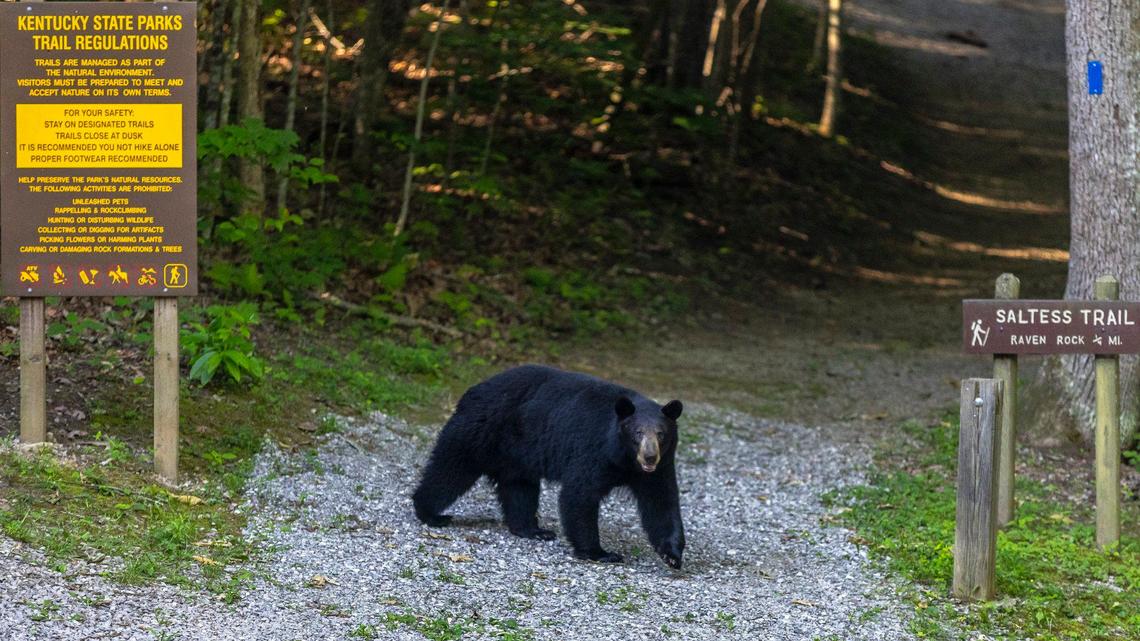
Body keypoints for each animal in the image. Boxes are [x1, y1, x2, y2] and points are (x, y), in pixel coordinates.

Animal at [411, 365, 686, 569]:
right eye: (637, 433)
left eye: (661, 434)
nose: (649, 457)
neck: (625, 459)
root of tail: (473, 389)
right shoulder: (593, 451)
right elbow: (579, 494)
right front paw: (600, 552)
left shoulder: (659, 468)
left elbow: (661, 502)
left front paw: (672, 554)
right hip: (480, 430)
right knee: (451, 470)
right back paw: (430, 513)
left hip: (516, 452)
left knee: (520, 489)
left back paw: (533, 529)